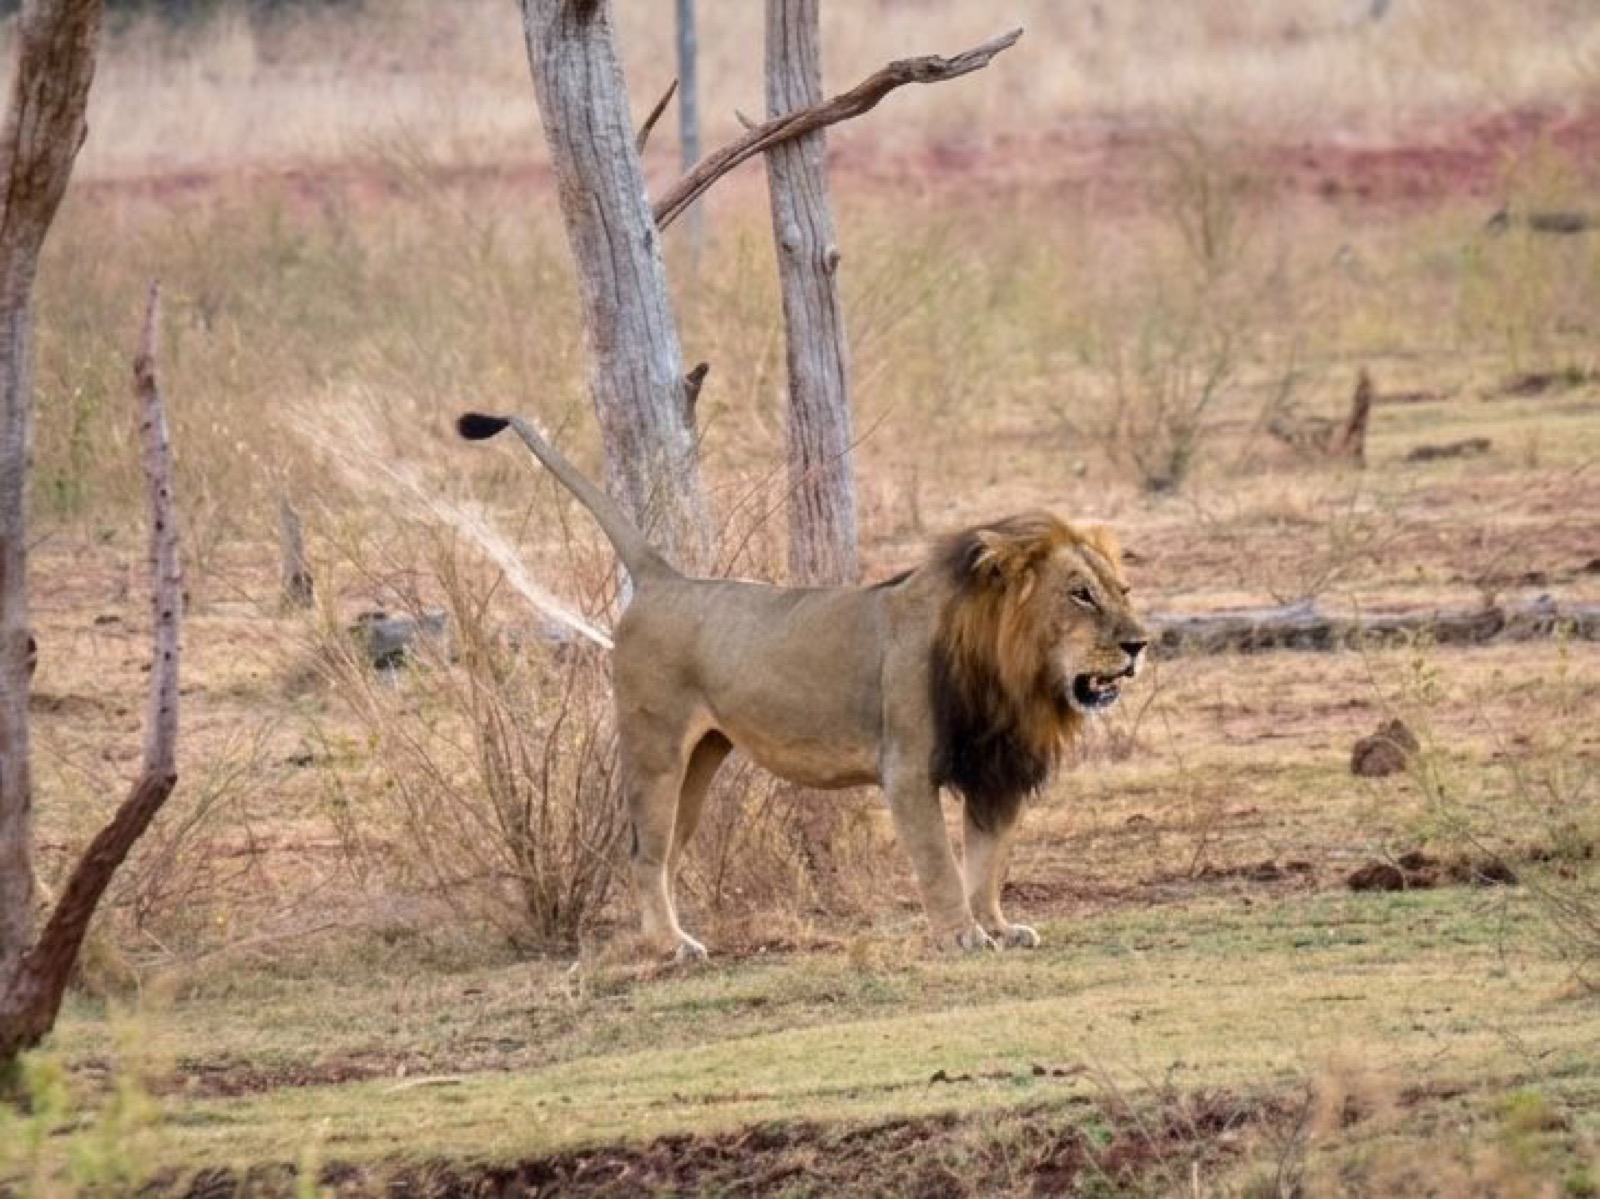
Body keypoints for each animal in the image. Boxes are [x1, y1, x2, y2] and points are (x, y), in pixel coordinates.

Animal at [458, 412, 1149, 958]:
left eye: (1122, 590)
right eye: (1080, 595)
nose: (1140, 644)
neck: (1013, 674)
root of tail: (661, 579)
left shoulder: (993, 768)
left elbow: (987, 861)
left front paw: (998, 927)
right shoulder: (907, 769)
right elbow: (942, 866)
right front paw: (961, 935)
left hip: (702, 758)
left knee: (663, 853)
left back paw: (671, 937)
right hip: (655, 750)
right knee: (644, 853)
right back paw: (672, 947)